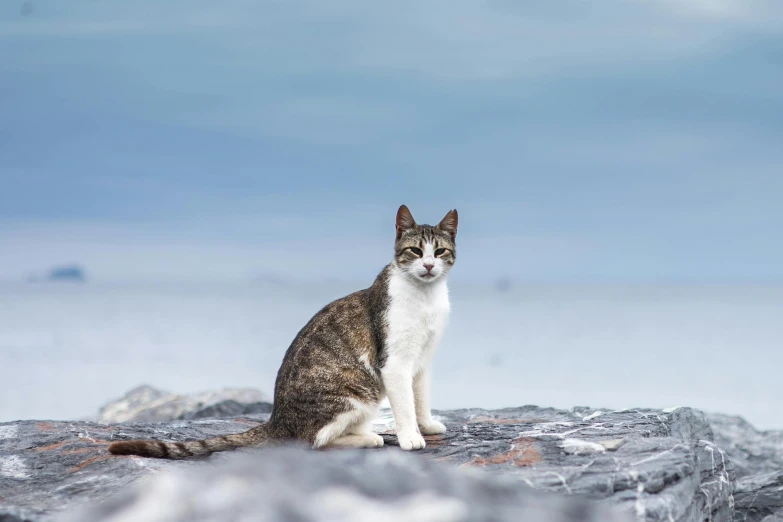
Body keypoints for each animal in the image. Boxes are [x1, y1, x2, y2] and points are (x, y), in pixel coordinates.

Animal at [107, 203, 456, 456]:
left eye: (439, 251)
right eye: (415, 251)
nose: (428, 265)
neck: (425, 298)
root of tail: (276, 419)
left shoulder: (422, 361)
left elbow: (420, 397)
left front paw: (426, 425)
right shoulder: (395, 363)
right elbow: (405, 405)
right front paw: (410, 436)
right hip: (357, 393)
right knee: (312, 439)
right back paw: (369, 438)